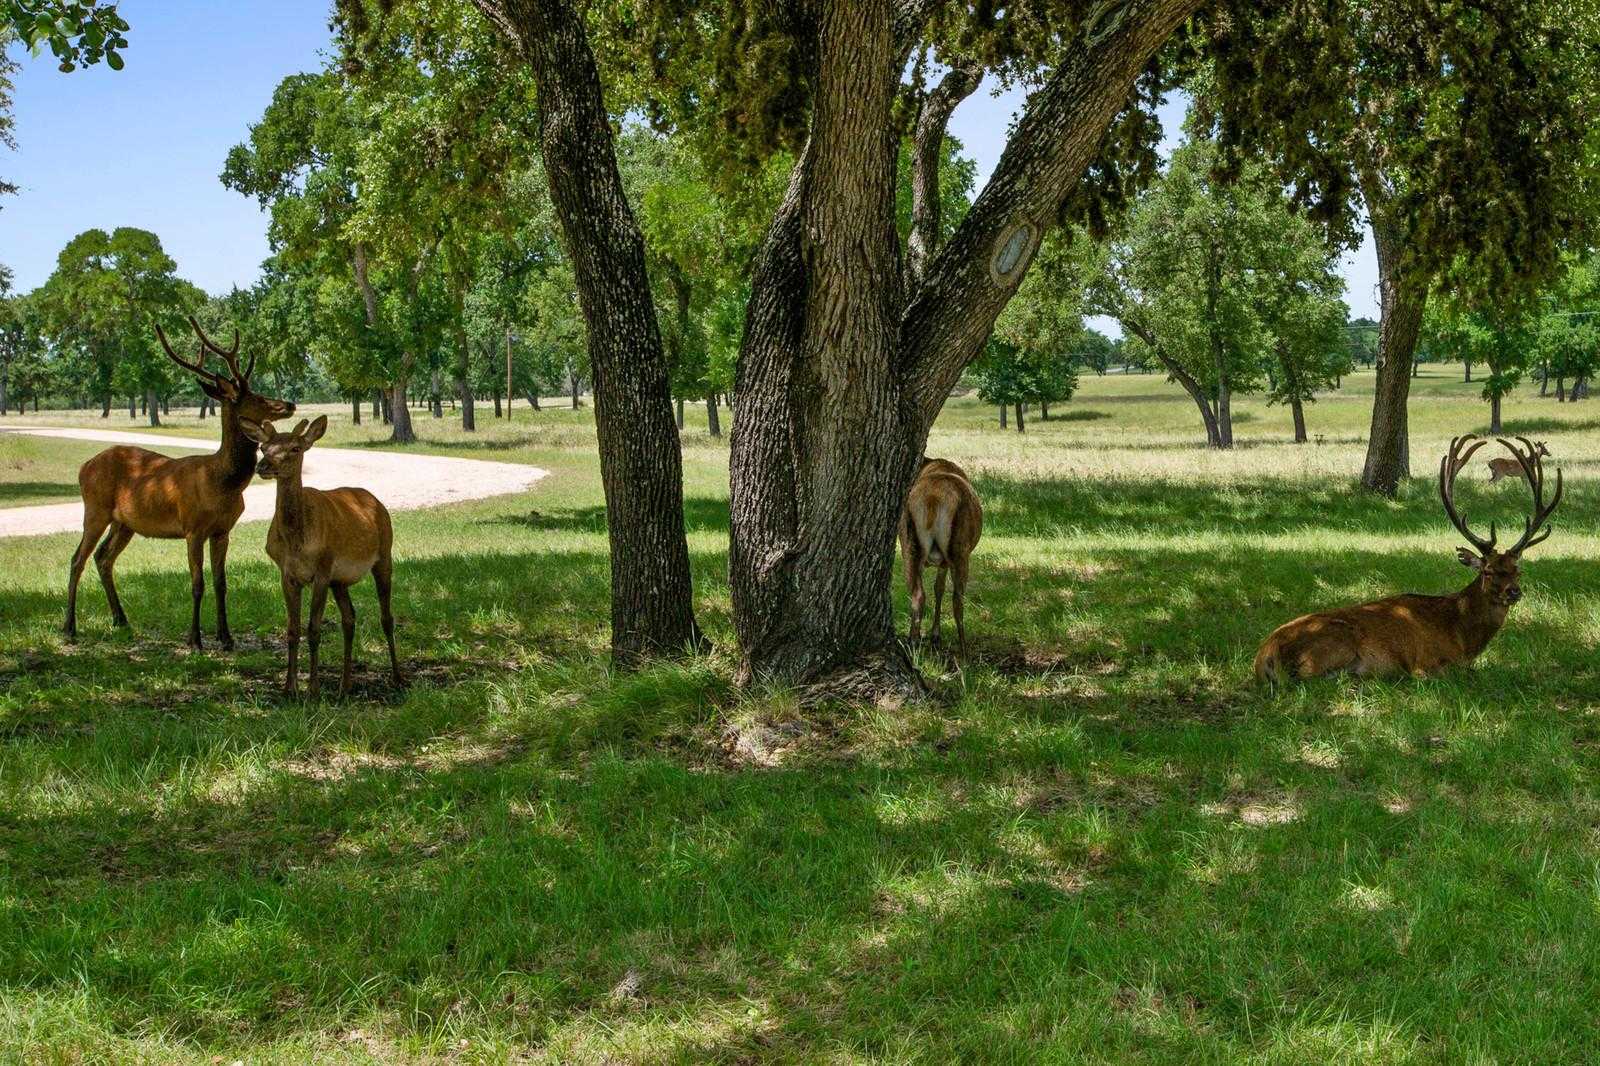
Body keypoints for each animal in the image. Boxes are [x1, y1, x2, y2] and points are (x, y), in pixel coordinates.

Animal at [65, 318, 295, 648]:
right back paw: (69, 628)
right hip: (95, 510)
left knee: (103, 557)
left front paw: (226, 638)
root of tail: (84, 467)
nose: (289, 403)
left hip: (124, 523)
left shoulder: (222, 530)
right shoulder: (192, 528)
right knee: (77, 559)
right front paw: (195, 639)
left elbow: (221, 583)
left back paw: (121, 619)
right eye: (257, 398)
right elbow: (197, 583)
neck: (222, 483)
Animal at [241, 415, 401, 698]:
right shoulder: (287, 574)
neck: (297, 543)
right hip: (341, 580)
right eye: (263, 447)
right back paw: (344, 686)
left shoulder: (323, 570)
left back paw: (398, 678)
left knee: (387, 617)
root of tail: (375, 501)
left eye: (295, 448)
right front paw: (289, 688)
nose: (263, 465)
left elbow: (314, 629)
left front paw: (313, 689)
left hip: (384, 556)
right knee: (349, 618)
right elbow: (292, 630)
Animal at [900, 456, 983, 655]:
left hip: (908, 544)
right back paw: (964, 650)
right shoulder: (946, 562)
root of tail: (933, 499)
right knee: (958, 599)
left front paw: (934, 635)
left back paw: (913, 643)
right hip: (960, 549)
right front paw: (936, 634)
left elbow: (937, 588)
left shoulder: (941, 562)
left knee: (917, 594)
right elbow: (941, 589)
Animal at [1255, 435, 1562, 682]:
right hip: (1332, 646)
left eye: (1517, 570)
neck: (1463, 636)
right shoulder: (1425, 661)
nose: (1514, 592)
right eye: (1487, 570)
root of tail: (1263, 657)